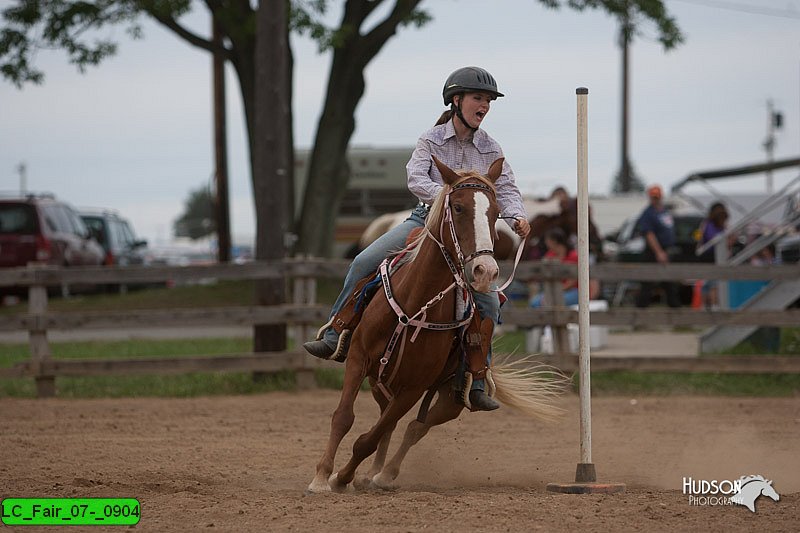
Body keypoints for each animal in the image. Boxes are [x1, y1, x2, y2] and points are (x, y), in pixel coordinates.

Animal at [306, 157, 564, 490]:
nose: (485, 271)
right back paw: (372, 473)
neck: (416, 303)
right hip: (380, 382)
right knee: (393, 423)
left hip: (450, 395)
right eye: (458, 207)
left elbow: (371, 437)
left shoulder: (415, 386)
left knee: (414, 427)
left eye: (496, 212)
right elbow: (344, 417)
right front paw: (323, 476)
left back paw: (384, 474)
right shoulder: (358, 358)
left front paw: (343, 477)